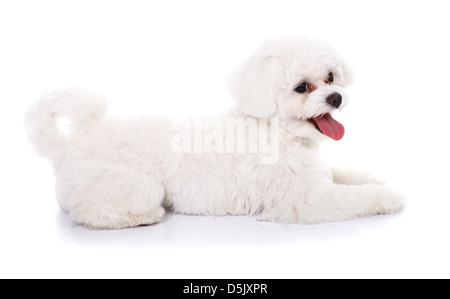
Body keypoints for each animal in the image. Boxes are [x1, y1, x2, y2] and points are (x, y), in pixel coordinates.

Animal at [25, 37, 404, 230]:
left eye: (330, 77)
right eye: (301, 87)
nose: (335, 97)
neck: (276, 130)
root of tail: (68, 146)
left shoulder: (318, 175)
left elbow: (348, 174)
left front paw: (377, 179)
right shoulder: (304, 201)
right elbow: (356, 197)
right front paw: (386, 197)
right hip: (137, 185)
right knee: (88, 212)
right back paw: (139, 217)